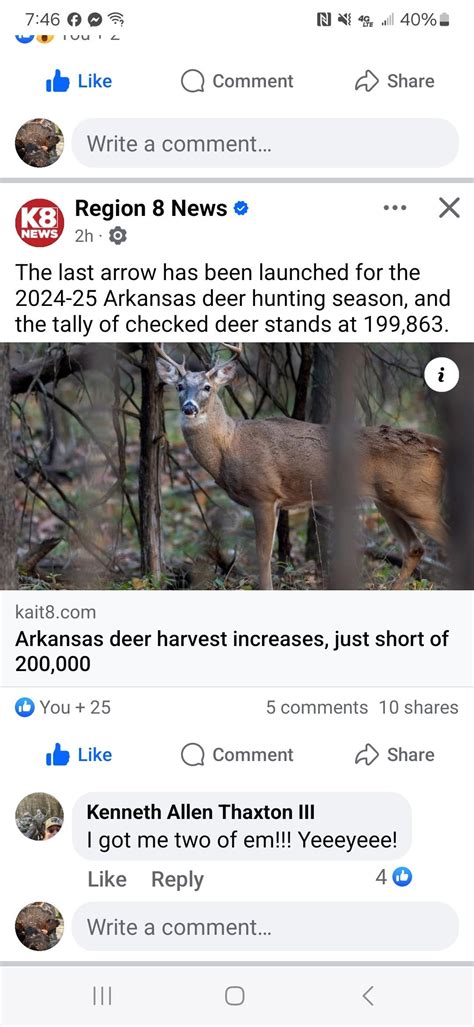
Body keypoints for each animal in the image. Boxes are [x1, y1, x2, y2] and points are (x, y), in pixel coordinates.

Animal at [154, 343, 447, 590]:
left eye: (207, 387)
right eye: (179, 386)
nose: (189, 408)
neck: (230, 446)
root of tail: (433, 442)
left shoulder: (263, 494)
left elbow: (263, 556)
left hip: (416, 498)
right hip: (386, 500)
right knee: (414, 547)